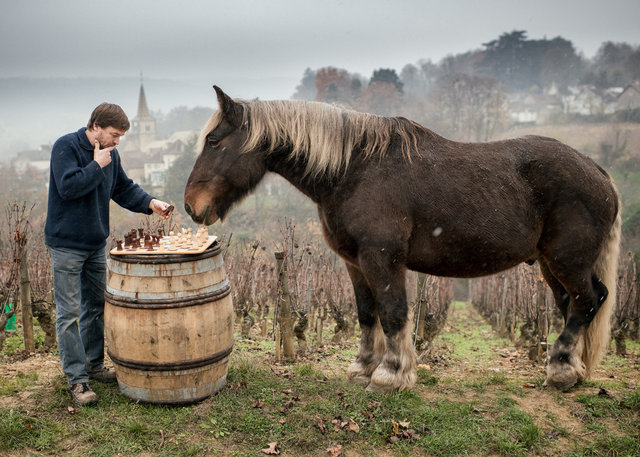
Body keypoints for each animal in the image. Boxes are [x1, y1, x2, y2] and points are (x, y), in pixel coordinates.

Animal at [184, 86, 620, 392]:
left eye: (214, 141)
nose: (191, 205)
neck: (353, 170)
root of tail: (599, 173)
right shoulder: (355, 263)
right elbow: (366, 314)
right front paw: (363, 367)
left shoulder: (382, 259)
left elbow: (394, 313)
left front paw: (391, 374)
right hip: (550, 265)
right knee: (572, 304)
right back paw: (573, 369)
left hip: (567, 261)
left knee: (586, 300)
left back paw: (562, 371)